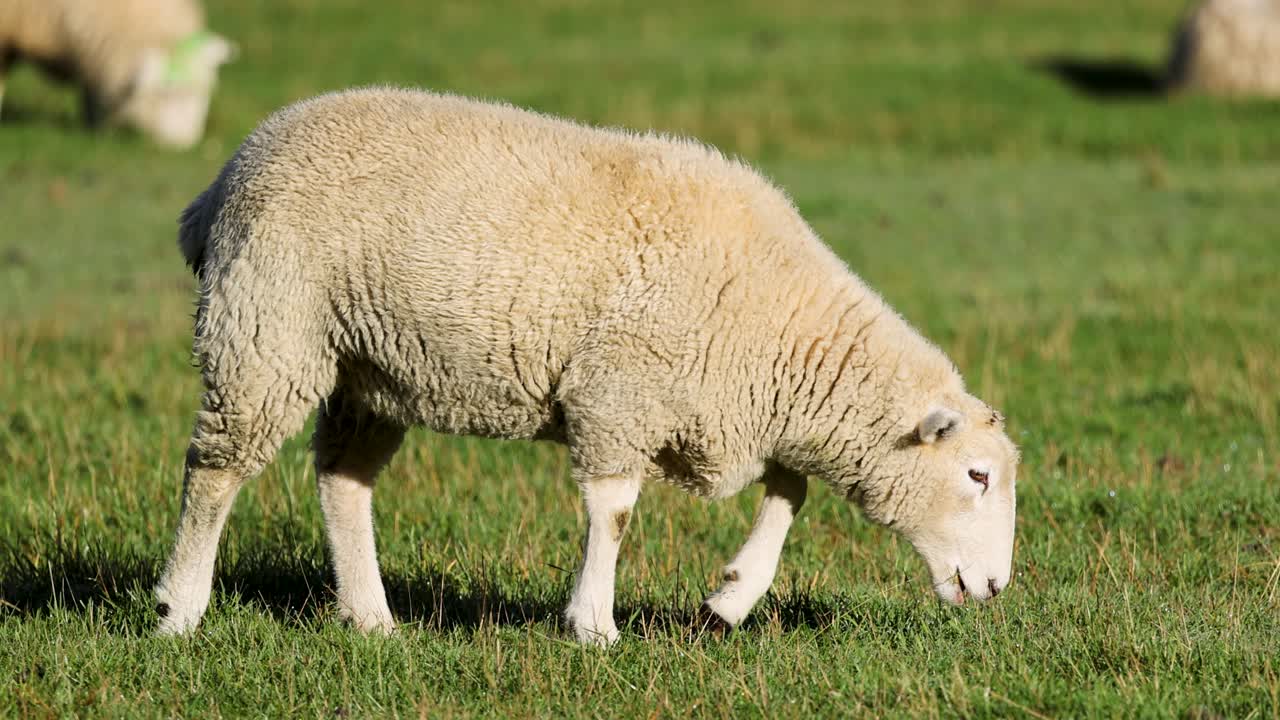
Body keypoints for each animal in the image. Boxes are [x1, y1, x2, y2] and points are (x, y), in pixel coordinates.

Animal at [154, 87, 1020, 645]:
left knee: (342, 481)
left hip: (368, 364)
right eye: (976, 476)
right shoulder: (619, 397)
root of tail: (226, 179)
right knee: (216, 471)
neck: (780, 324)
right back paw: (179, 610)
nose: (995, 588)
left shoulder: (732, 407)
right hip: (267, 330)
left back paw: (371, 618)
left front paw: (730, 600)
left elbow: (791, 490)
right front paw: (595, 626)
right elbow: (618, 514)